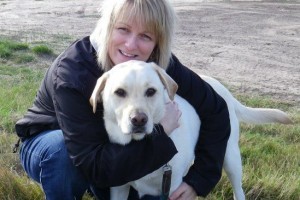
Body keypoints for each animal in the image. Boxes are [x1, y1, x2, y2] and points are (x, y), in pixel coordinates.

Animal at [89, 60, 290, 200]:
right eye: (120, 92)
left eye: (151, 91)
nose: (139, 119)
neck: (141, 148)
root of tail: (221, 88)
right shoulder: (118, 187)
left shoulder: (172, 187)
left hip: (230, 157)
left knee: (238, 190)